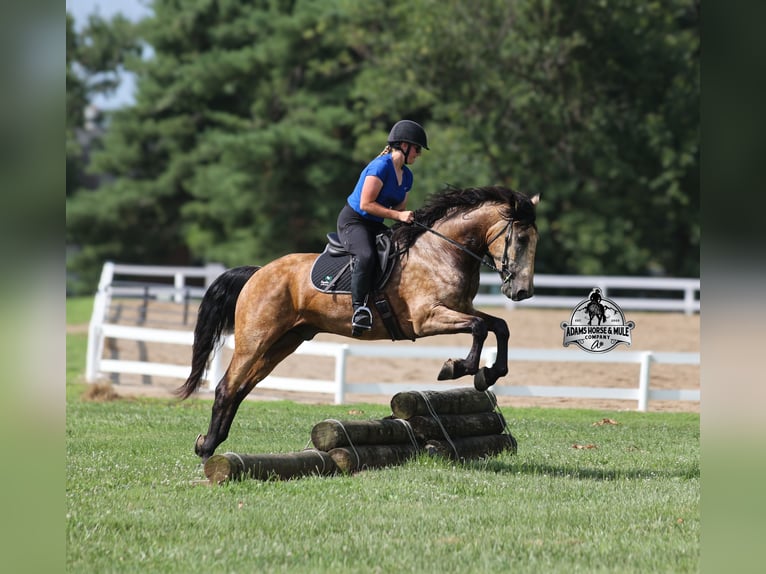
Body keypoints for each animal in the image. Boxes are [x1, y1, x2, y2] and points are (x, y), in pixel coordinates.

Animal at [177, 185, 540, 461]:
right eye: (521, 239)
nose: (522, 292)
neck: (443, 251)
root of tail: (257, 272)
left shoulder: (460, 308)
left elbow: (499, 326)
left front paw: (489, 373)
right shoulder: (427, 318)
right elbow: (479, 328)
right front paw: (458, 368)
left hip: (283, 342)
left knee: (241, 388)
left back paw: (210, 443)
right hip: (256, 339)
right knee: (226, 387)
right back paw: (207, 450)